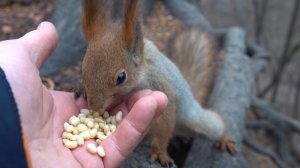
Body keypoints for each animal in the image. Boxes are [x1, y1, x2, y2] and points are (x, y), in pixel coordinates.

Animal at [79, 0, 237, 165]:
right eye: (82, 69)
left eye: (121, 77)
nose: (94, 106)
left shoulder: (163, 90)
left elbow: (164, 124)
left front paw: (160, 152)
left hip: (196, 118)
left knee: (214, 126)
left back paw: (224, 139)